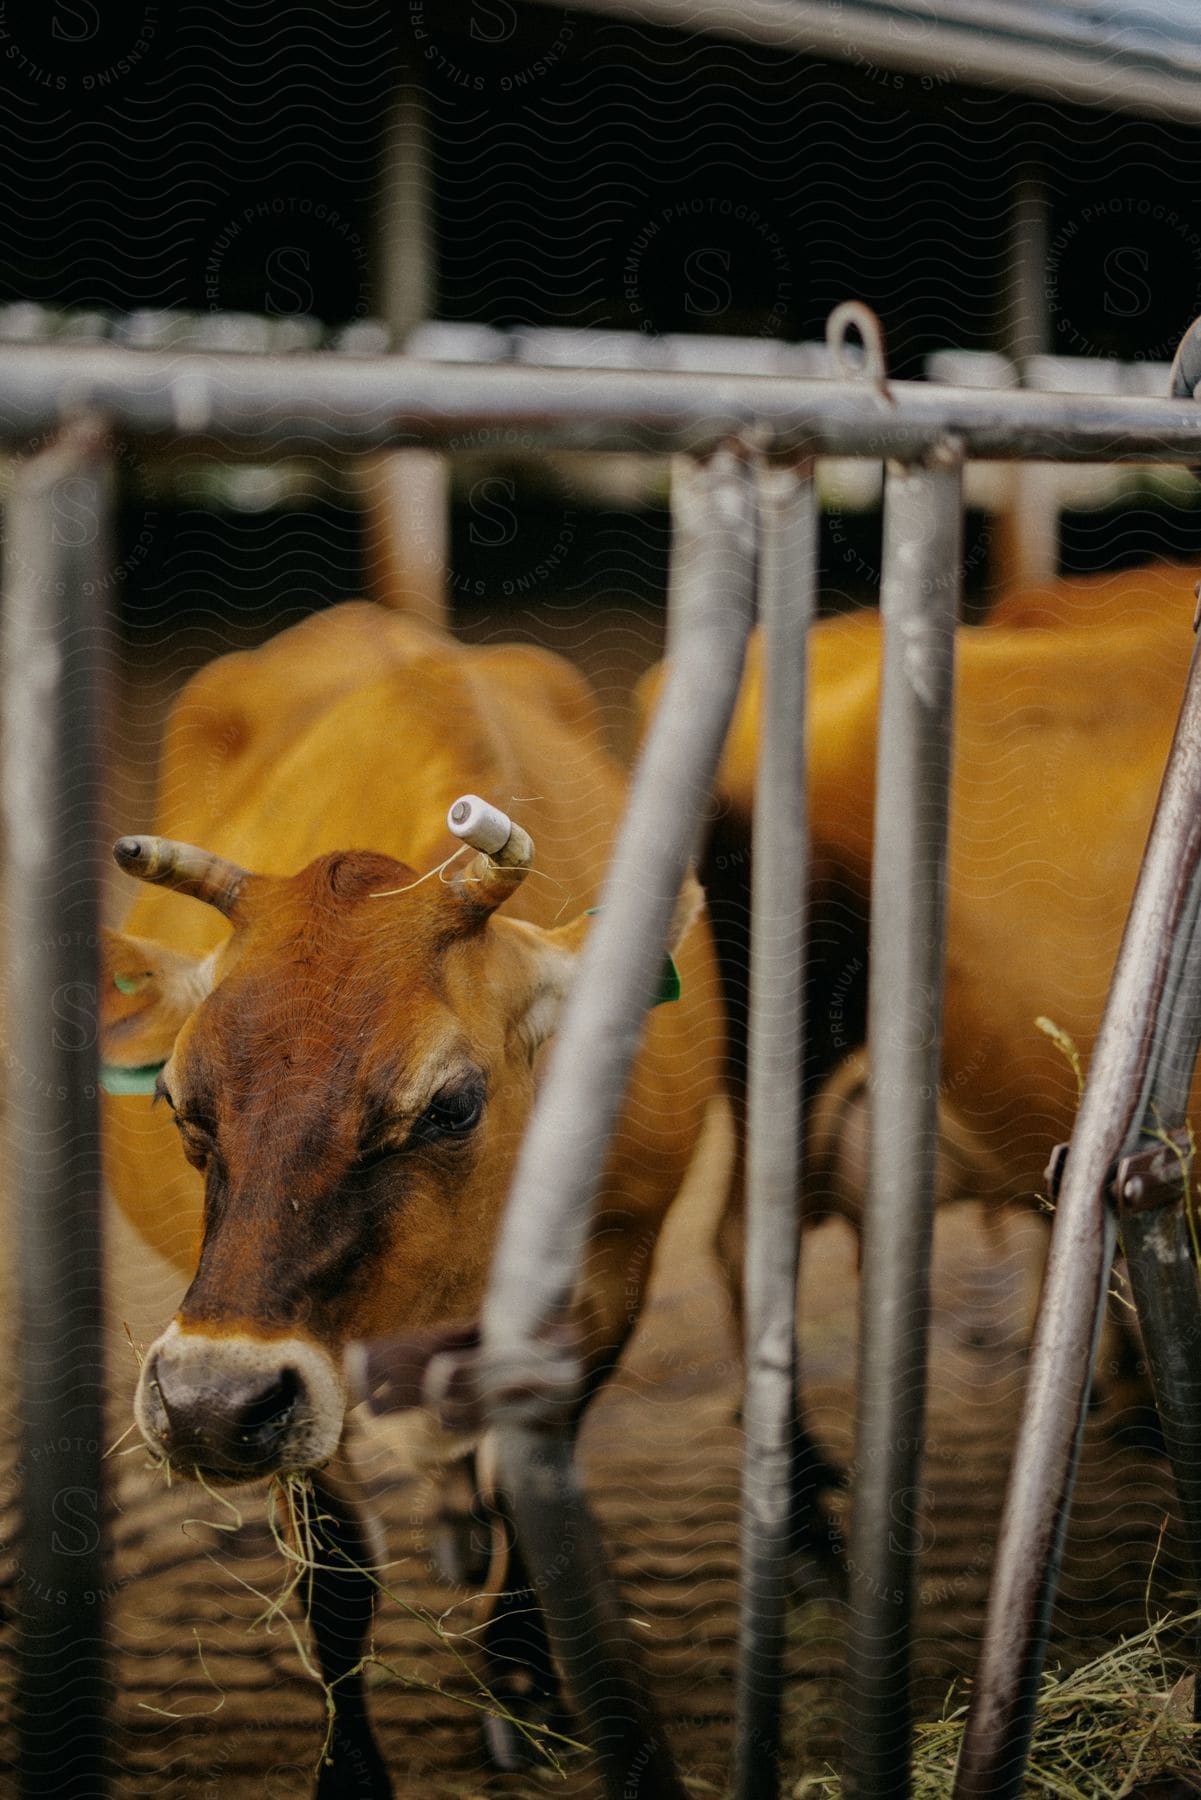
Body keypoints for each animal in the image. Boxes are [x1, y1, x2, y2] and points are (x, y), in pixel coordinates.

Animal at [103, 608, 723, 1800]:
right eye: (174, 1099)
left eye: (451, 1103)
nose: (205, 1406)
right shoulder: (301, 1367)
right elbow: (337, 1571)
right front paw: (348, 1768)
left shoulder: (610, 1281)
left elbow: (527, 1493)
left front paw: (521, 1693)